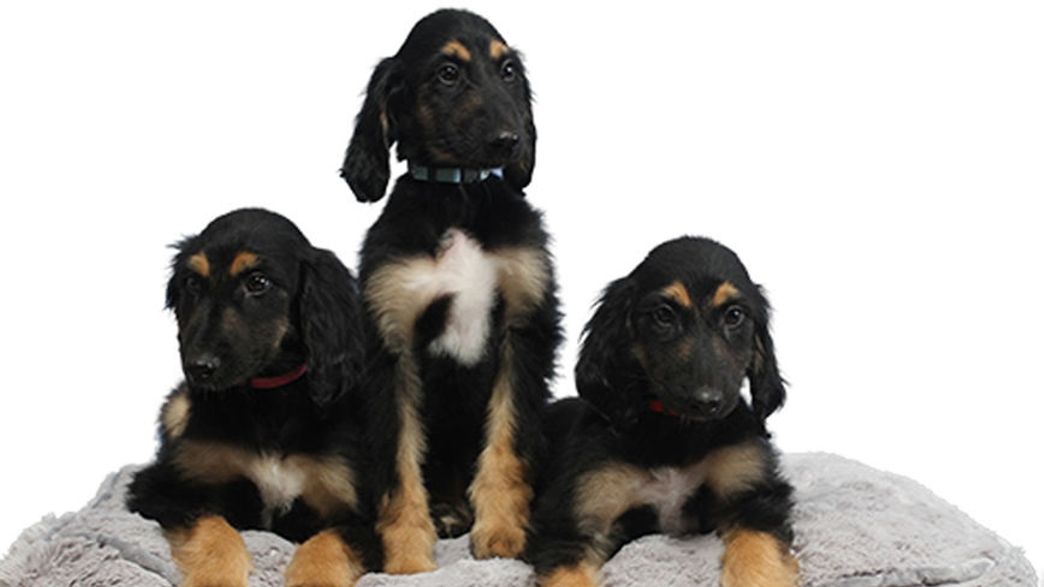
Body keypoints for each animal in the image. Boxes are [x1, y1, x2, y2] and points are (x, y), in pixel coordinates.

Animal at [126, 208, 380, 587]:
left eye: (258, 283)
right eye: (192, 284)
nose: (198, 368)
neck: (269, 399)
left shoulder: (369, 519)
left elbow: (330, 541)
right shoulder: (160, 488)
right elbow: (211, 523)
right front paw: (216, 578)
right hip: (177, 406)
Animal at [340, 9, 561, 573]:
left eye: (508, 71)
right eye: (447, 73)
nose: (510, 140)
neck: (458, 194)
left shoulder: (522, 329)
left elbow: (507, 443)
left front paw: (503, 534)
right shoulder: (390, 345)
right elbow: (397, 465)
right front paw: (406, 558)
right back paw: (444, 513)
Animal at [526, 237, 799, 587]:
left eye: (735, 315)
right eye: (664, 315)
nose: (706, 401)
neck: (676, 431)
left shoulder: (755, 495)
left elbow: (757, 554)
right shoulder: (574, 519)